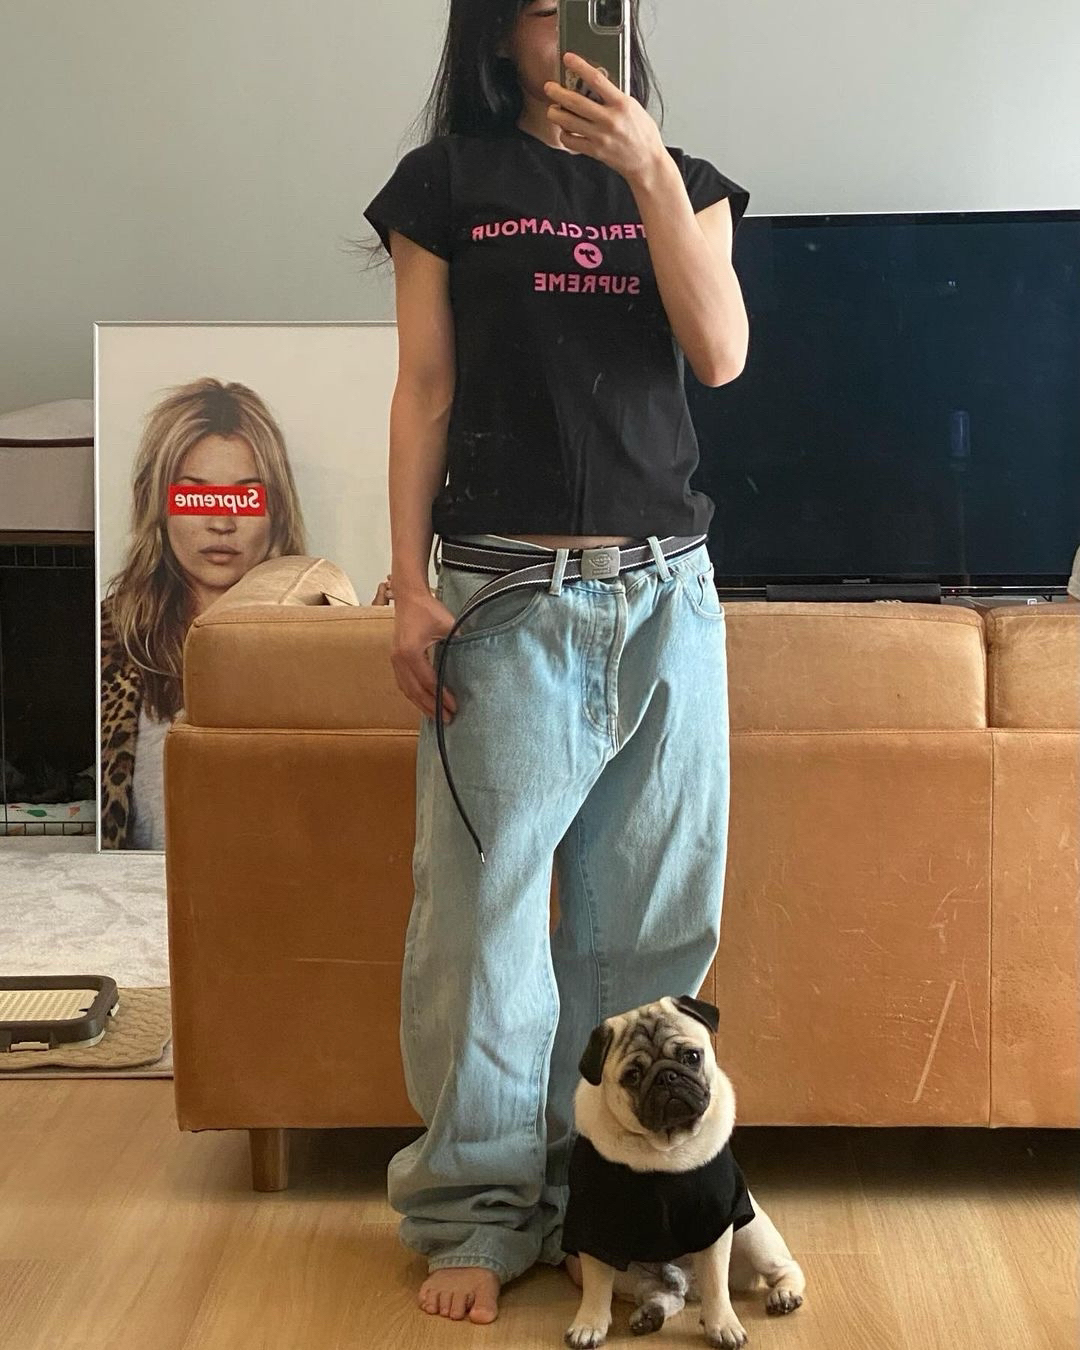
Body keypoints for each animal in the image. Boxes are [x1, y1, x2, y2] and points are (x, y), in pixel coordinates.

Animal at [562, 995, 806, 1348]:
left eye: (691, 1057)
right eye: (632, 1076)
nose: (666, 1077)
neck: (664, 1149)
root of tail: (689, 1286)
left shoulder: (714, 1221)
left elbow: (716, 1285)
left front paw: (723, 1325)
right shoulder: (596, 1229)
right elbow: (596, 1287)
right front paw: (588, 1324)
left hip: (752, 1232)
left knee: (784, 1268)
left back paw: (784, 1295)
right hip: (628, 1274)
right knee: (663, 1293)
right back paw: (650, 1314)